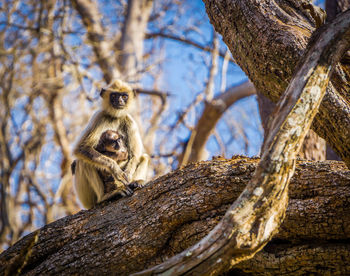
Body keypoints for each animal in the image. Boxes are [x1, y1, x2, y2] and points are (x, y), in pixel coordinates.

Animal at [73, 78, 150, 208]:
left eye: (124, 96)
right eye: (114, 95)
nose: (119, 101)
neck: (115, 117)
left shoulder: (129, 120)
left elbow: (134, 155)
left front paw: (129, 175)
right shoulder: (99, 117)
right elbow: (82, 148)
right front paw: (116, 170)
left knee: (144, 157)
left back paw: (135, 183)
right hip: (89, 200)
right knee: (83, 162)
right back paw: (105, 196)